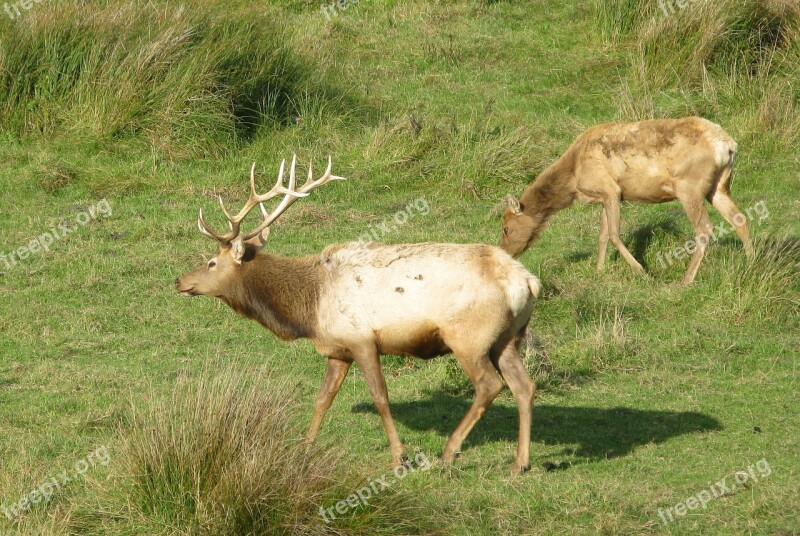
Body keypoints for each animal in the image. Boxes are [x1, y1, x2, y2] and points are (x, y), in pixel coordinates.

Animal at [173, 155, 536, 474]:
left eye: (211, 263)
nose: (179, 281)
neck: (310, 308)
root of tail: (527, 282)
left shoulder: (361, 339)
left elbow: (380, 397)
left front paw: (399, 457)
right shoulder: (338, 349)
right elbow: (322, 399)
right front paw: (305, 447)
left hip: (468, 337)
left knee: (490, 385)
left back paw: (449, 453)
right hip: (508, 337)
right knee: (524, 386)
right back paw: (520, 463)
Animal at [504, 116, 752, 284]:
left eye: (505, 228)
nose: (505, 252)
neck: (574, 176)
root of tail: (728, 145)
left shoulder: (610, 189)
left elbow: (614, 233)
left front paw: (643, 271)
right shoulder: (605, 196)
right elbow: (603, 234)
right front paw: (598, 271)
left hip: (689, 186)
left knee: (705, 227)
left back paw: (686, 279)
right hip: (719, 186)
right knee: (739, 218)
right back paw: (751, 260)